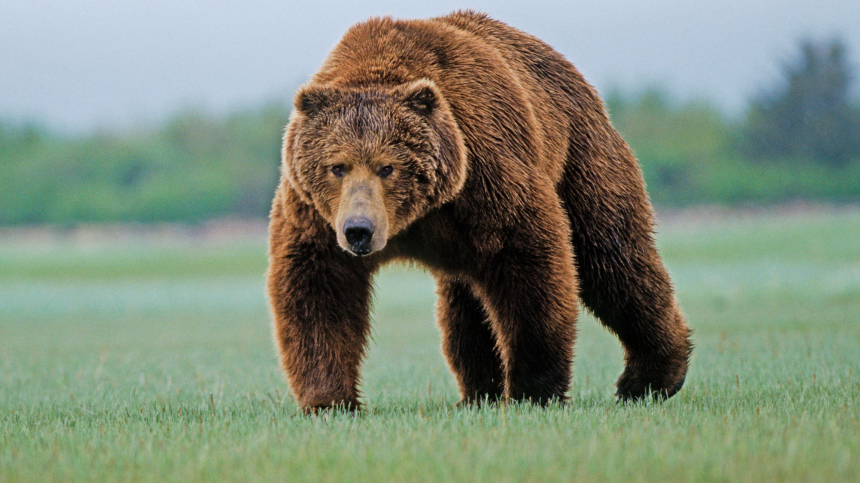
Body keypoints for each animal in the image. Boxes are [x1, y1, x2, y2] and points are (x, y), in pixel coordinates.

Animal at [268, 10, 692, 412]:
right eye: (337, 166)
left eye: (387, 167)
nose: (359, 230)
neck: (416, 218)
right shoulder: (316, 214)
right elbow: (319, 289)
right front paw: (329, 399)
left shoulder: (486, 174)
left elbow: (530, 266)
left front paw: (532, 390)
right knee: (465, 305)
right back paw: (478, 392)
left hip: (580, 156)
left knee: (612, 258)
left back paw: (649, 378)